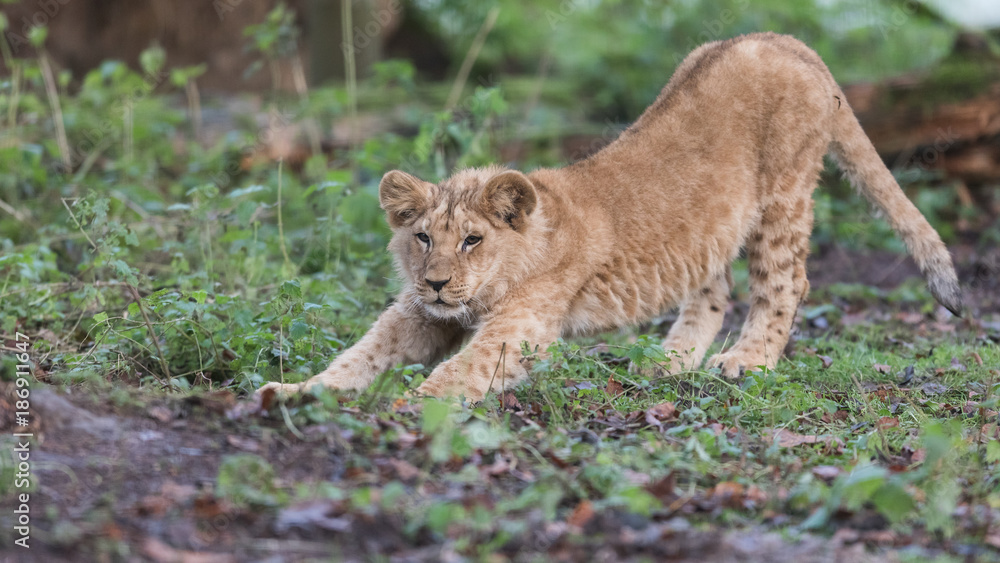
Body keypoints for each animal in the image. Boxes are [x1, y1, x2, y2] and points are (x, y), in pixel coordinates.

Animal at [258, 32, 961, 402]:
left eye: (473, 241)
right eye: (423, 237)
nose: (433, 282)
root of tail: (784, 39)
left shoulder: (521, 326)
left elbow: (460, 371)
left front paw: (409, 407)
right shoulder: (416, 315)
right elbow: (360, 353)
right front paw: (296, 392)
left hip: (785, 194)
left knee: (786, 283)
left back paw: (746, 362)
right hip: (712, 221)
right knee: (713, 288)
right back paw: (668, 363)